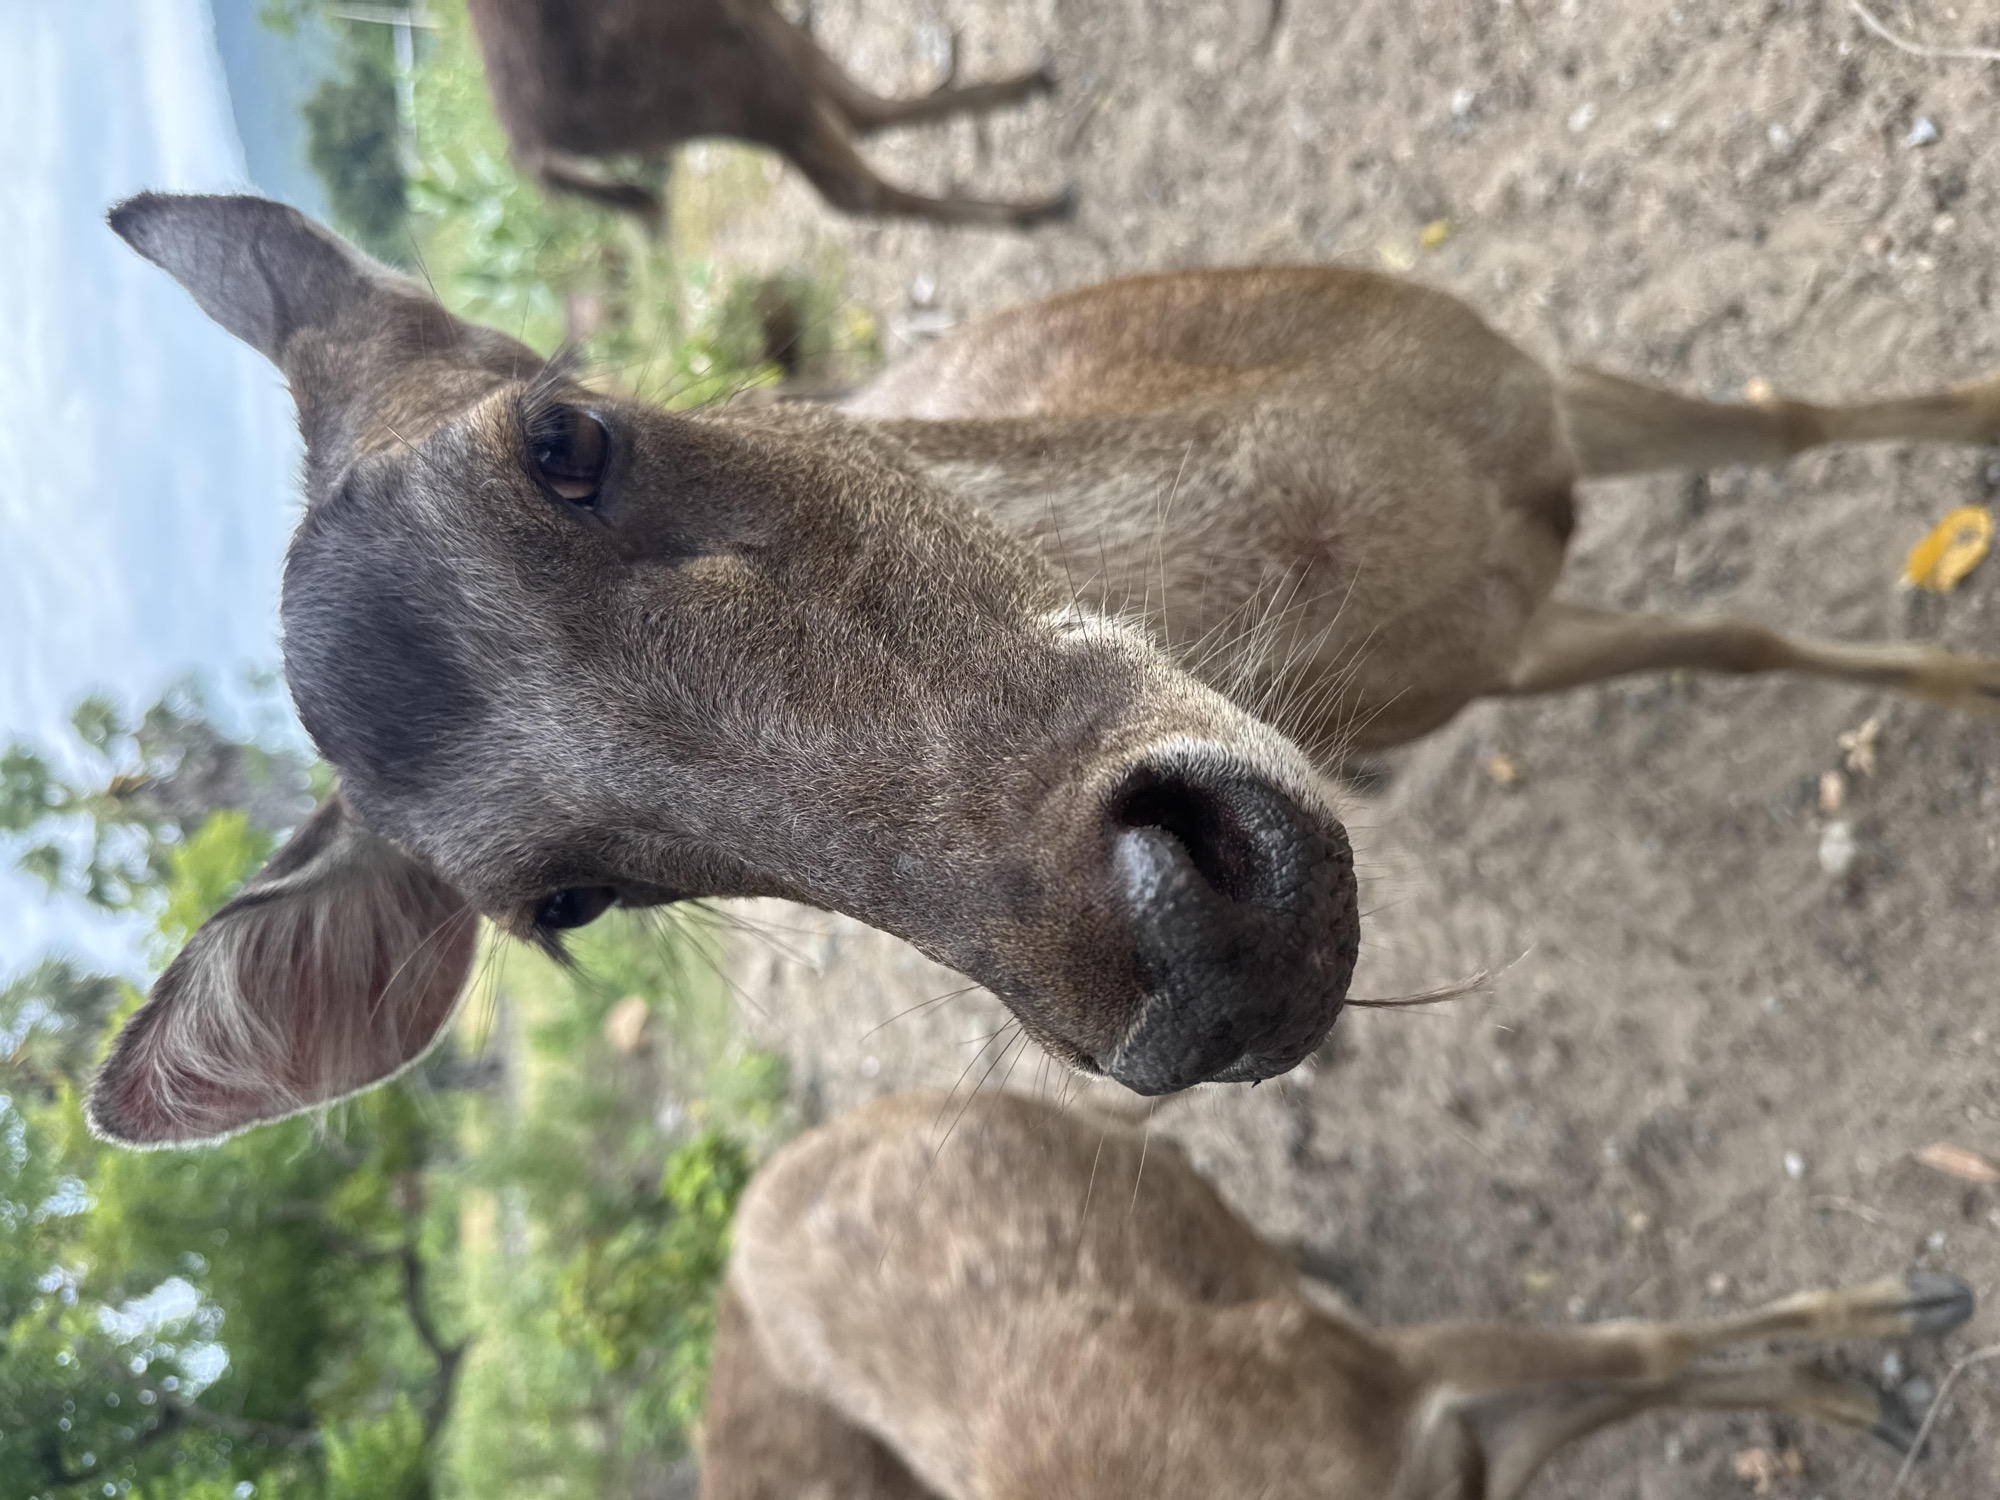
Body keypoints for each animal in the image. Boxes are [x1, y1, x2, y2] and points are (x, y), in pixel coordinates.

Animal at [89, 194, 2000, 1148]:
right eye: (569, 902)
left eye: (567, 437)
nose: (1202, 956)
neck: (1362, 528)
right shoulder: (1491, 662)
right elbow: (1745, 630)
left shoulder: (1514, 376)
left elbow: (1793, 421)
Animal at [463, 0, 1072, 229]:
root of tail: (531, 139)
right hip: (730, 73)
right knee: (849, 179)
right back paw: (1037, 206)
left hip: (742, 42)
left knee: (853, 110)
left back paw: (1027, 86)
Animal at [708, 1087, 1980, 1500]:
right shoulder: (1451, 1451)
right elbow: (1620, 1385)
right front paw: (1852, 1392)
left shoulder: (1397, 1385)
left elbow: (1642, 1348)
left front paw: (1901, 1318)